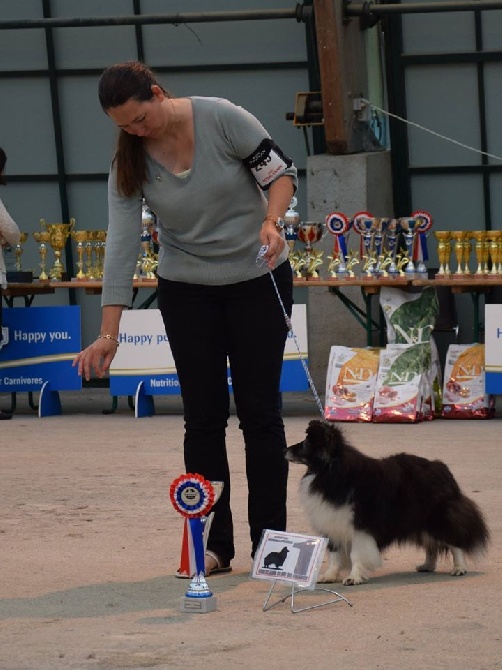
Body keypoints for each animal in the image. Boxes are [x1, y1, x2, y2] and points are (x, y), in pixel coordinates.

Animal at [286, 422, 490, 584]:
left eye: (307, 443)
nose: (285, 450)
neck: (330, 469)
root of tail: (440, 467)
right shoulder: (332, 523)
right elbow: (334, 554)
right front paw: (329, 576)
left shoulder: (360, 526)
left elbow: (356, 554)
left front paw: (353, 578)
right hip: (420, 520)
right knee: (431, 545)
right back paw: (427, 565)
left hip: (437, 517)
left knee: (454, 541)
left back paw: (459, 568)